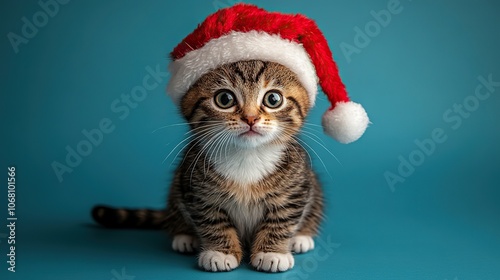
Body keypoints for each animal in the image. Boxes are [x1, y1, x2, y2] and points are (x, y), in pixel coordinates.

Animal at [91, 60, 322, 272]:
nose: (250, 118)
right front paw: (220, 253)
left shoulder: (295, 189)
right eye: (224, 99)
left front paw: (272, 253)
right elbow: (212, 221)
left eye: (273, 99)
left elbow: (282, 219)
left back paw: (301, 238)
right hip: (178, 184)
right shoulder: (197, 189)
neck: (247, 155)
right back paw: (184, 237)